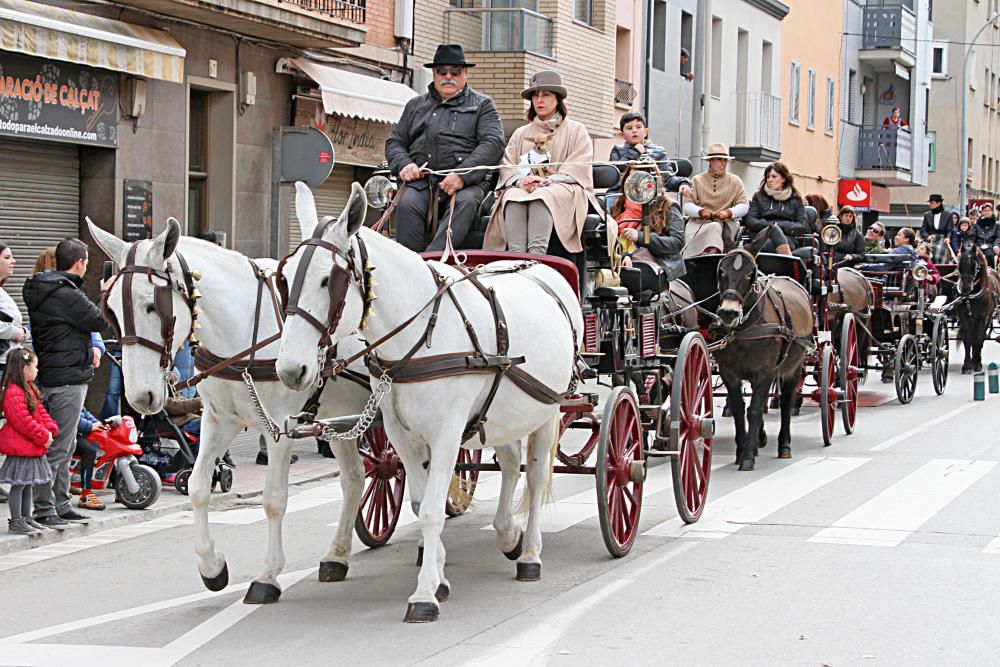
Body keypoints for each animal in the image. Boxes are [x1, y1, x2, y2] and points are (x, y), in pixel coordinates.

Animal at [86, 219, 374, 604]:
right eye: (112, 311)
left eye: (152, 306)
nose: (140, 396)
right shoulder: (217, 420)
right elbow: (197, 487)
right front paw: (212, 568)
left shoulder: (280, 428)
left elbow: (274, 500)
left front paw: (267, 576)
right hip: (341, 419)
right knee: (355, 479)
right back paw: (336, 557)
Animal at [278, 181, 584, 620]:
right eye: (284, 278)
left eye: (327, 280)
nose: (290, 369)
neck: (421, 332)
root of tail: (542, 269)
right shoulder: (402, 436)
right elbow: (423, 502)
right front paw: (436, 573)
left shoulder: (446, 434)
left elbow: (431, 511)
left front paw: (424, 594)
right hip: (506, 412)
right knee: (511, 463)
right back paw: (507, 534)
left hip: (549, 409)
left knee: (538, 475)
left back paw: (529, 555)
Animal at [716, 232, 816, 472]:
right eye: (721, 271)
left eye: (750, 273)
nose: (728, 313)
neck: (745, 328)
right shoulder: (729, 373)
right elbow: (740, 409)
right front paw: (742, 449)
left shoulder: (765, 371)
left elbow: (753, 409)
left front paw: (747, 457)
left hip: (794, 367)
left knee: (787, 402)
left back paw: (784, 445)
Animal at [952, 241, 1000, 376]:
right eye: (960, 264)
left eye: (974, 264)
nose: (965, 288)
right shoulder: (964, 316)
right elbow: (968, 339)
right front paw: (967, 365)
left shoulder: (982, 317)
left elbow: (978, 339)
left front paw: (977, 363)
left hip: (989, 317)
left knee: (981, 337)